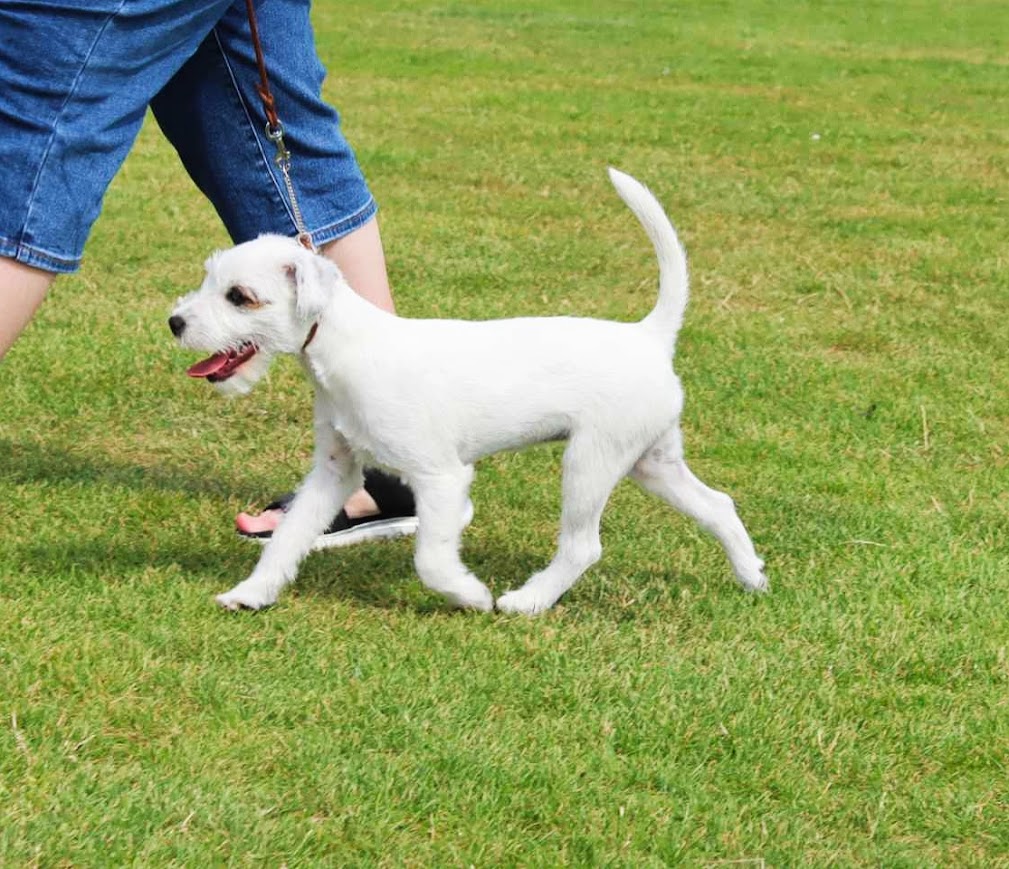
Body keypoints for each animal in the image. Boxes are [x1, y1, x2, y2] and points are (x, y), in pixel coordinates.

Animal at [169, 169, 766, 613]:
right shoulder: (334, 472)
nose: (175, 322)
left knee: (583, 546)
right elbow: (288, 538)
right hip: (651, 461)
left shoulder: (440, 476)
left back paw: (526, 601)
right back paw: (752, 576)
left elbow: (431, 559)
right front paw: (251, 593)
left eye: (241, 296)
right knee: (718, 505)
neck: (347, 348)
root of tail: (649, 335)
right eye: (209, 280)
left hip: (591, 462)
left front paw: (469, 595)